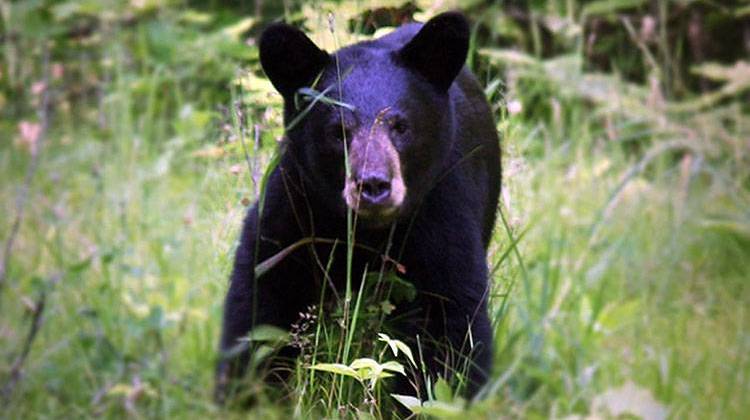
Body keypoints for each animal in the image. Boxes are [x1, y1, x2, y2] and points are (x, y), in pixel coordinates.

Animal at [214, 10, 502, 404]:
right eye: (338, 132)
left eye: (400, 126)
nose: (373, 184)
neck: (368, 230)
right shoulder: (295, 204)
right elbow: (262, 297)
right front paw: (247, 394)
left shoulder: (442, 207)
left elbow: (449, 321)